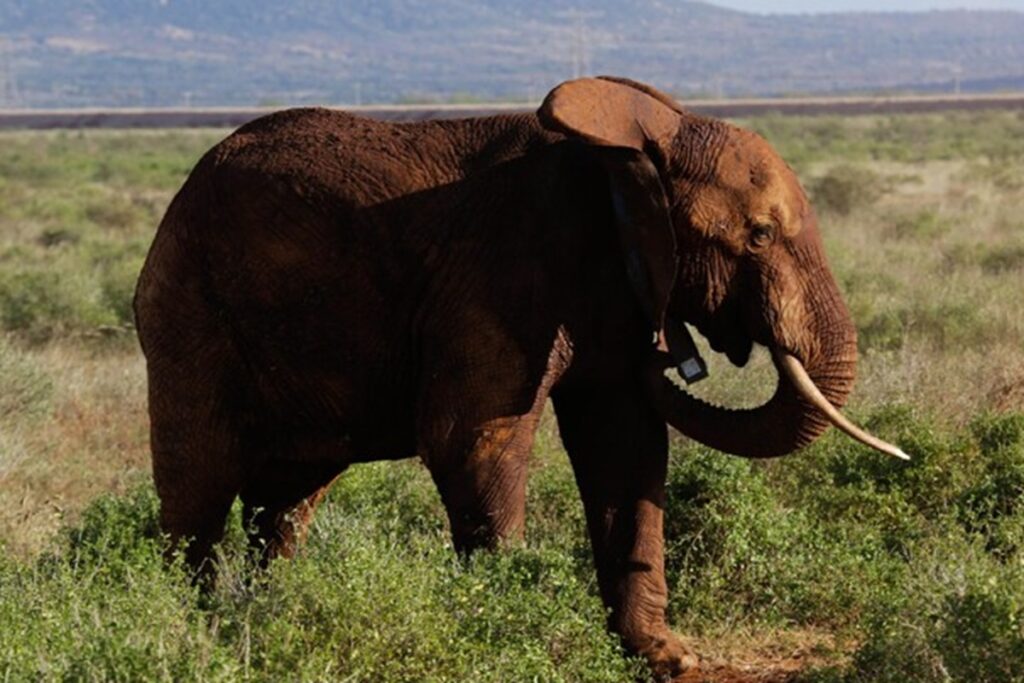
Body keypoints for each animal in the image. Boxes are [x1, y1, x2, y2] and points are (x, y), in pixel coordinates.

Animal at [134, 76, 906, 680]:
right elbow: (470, 438)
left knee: (287, 504)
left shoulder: (605, 297)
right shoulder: (502, 273)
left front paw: (667, 657)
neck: (625, 158)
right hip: (188, 312)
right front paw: (507, 633)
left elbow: (625, 444)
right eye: (760, 236)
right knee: (199, 485)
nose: (676, 351)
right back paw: (193, 626)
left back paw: (271, 616)